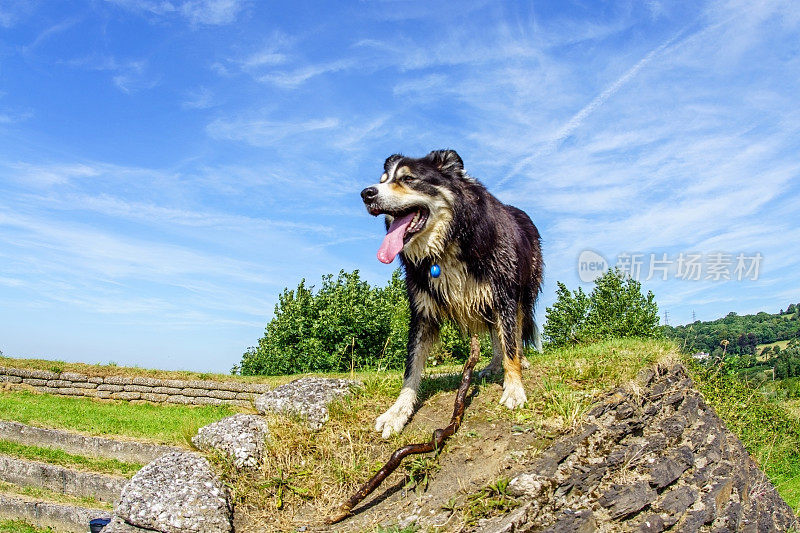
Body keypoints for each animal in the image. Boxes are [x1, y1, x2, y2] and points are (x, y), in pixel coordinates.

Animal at [360, 150, 544, 436]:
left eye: (408, 179)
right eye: (382, 180)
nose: (366, 193)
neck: (448, 242)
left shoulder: (503, 294)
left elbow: (510, 344)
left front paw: (514, 388)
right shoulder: (422, 310)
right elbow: (411, 366)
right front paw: (398, 411)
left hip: (523, 291)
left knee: (515, 329)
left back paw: (518, 362)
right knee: (496, 335)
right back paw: (493, 364)